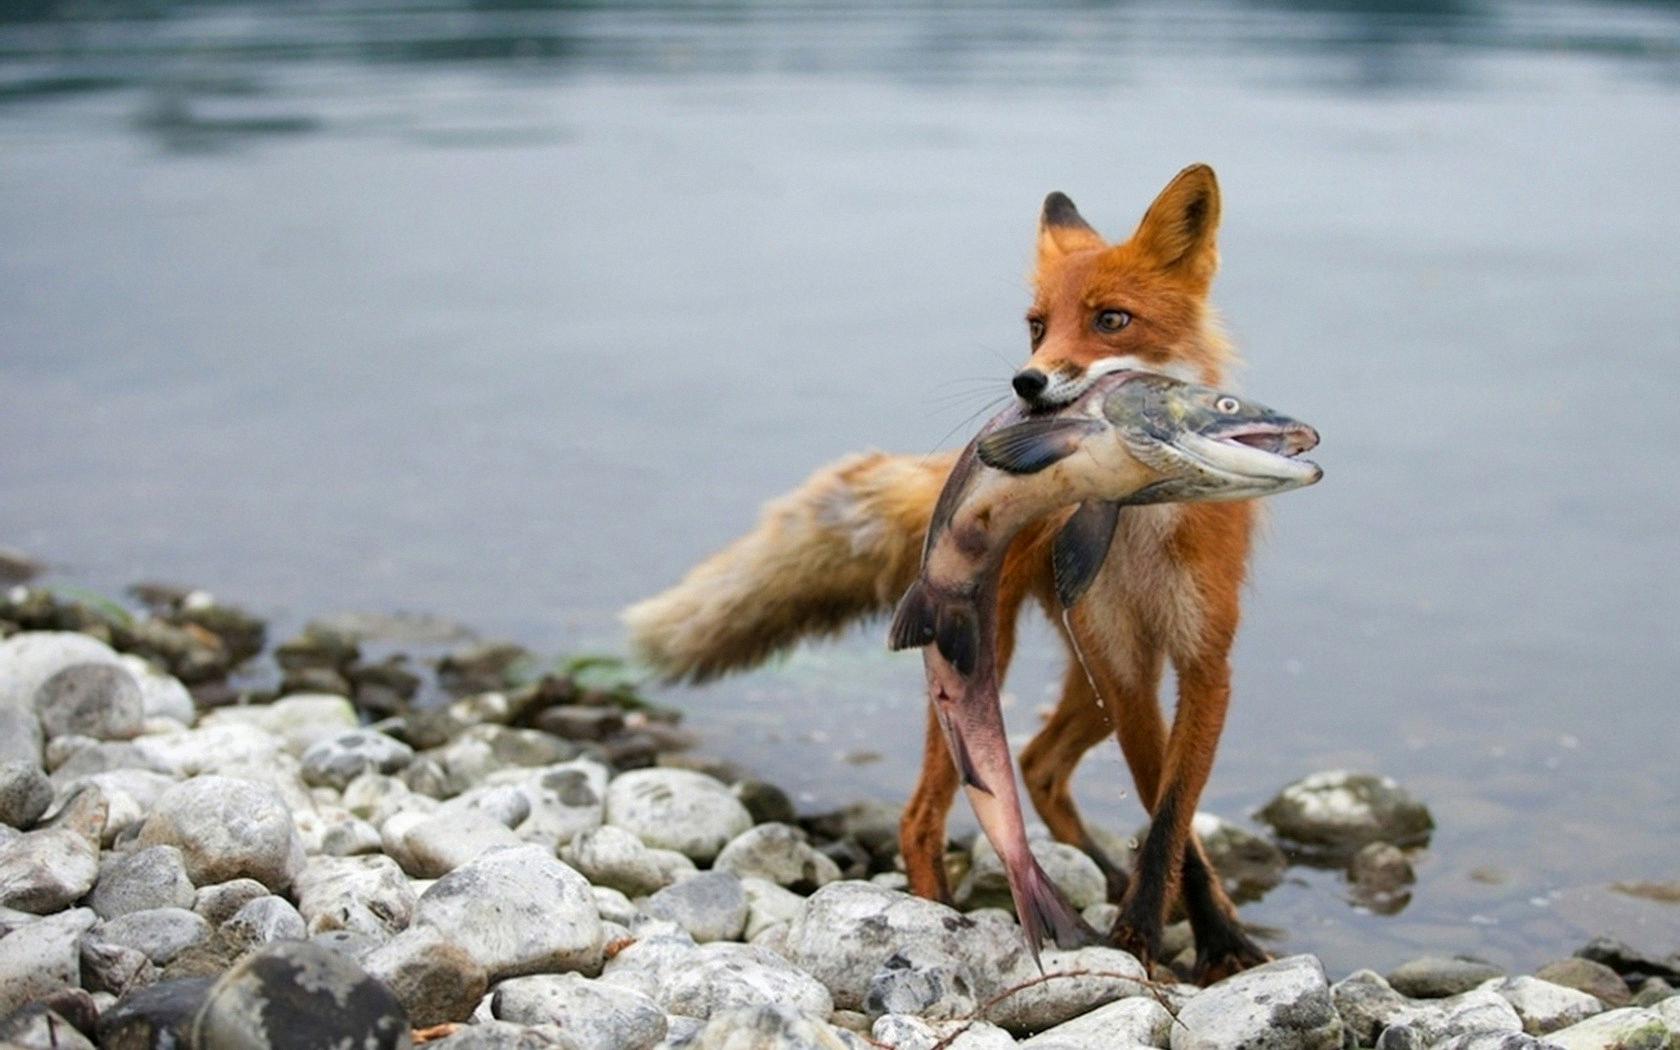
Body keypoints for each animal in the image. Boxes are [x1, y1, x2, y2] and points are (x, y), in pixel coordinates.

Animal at [624, 163, 1276, 982]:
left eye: (1112, 319)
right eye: (1037, 325)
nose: (1028, 383)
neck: (1141, 525)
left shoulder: (1200, 663)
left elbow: (1171, 815)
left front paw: (1203, 937)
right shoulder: (1129, 670)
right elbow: (1175, 825)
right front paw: (1146, 940)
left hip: (1084, 678)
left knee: (1039, 764)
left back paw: (1098, 875)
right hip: (987, 663)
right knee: (925, 816)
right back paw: (937, 918)